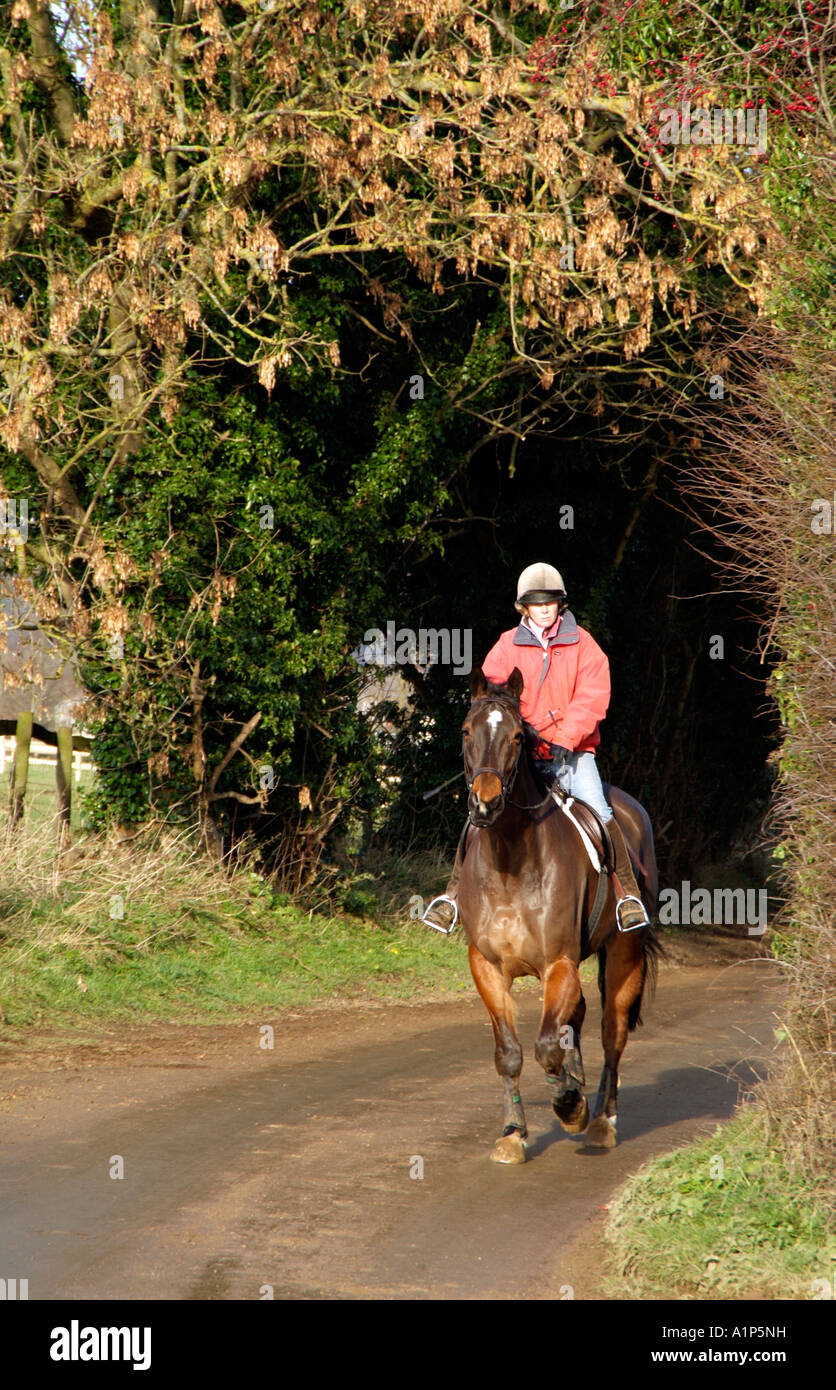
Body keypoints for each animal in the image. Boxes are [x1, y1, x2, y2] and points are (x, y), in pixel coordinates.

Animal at [456, 665, 661, 1162]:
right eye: (467, 731)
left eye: (516, 737)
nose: (485, 802)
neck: (510, 860)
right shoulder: (486, 965)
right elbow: (510, 1051)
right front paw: (513, 1133)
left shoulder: (559, 963)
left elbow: (547, 1045)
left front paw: (570, 1105)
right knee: (580, 1016)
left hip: (624, 953)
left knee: (612, 1032)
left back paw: (602, 1119)